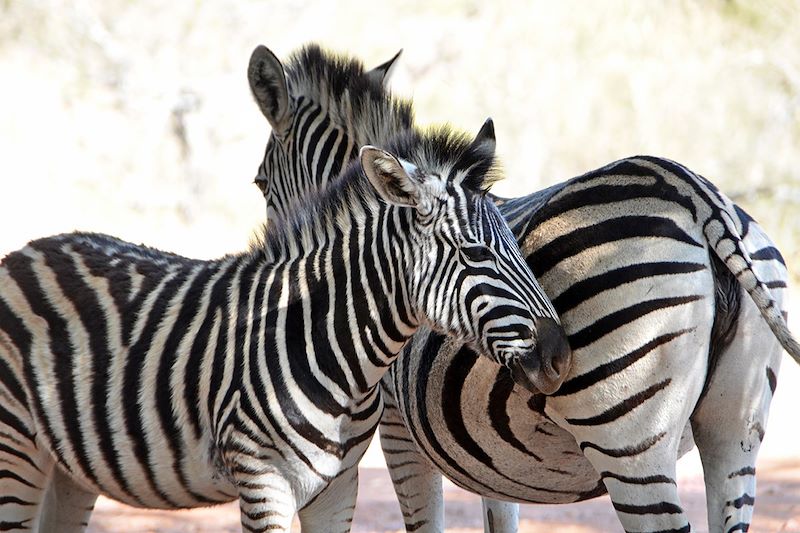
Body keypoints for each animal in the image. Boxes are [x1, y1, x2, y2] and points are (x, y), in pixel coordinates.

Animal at [0, 123, 568, 528]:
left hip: (68, 468)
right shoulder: (261, 480)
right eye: (475, 253)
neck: (337, 351)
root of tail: (28, 250)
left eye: (517, 245)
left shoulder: (339, 486)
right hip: (16, 451)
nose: (560, 357)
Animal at [247, 42, 796, 532]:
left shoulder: (396, 431)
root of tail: (691, 191)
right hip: (736, 433)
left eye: (260, 183)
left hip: (629, 442)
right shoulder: (485, 456)